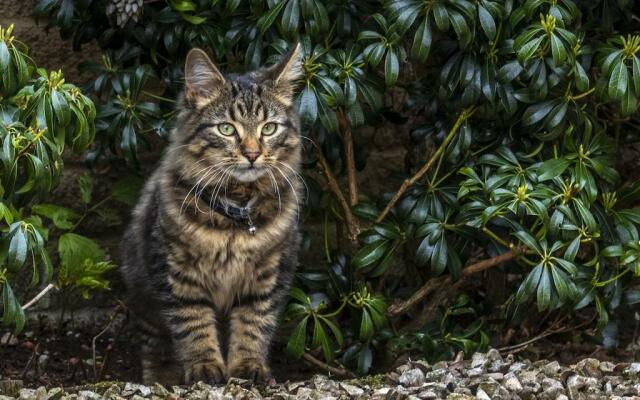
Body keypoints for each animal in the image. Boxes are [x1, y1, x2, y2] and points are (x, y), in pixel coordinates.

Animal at [120, 43, 304, 384]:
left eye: (269, 128)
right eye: (227, 129)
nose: (252, 154)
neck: (235, 217)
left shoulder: (268, 275)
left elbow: (253, 325)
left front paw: (248, 367)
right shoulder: (178, 274)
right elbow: (194, 325)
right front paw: (205, 368)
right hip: (144, 299)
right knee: (155, 348)